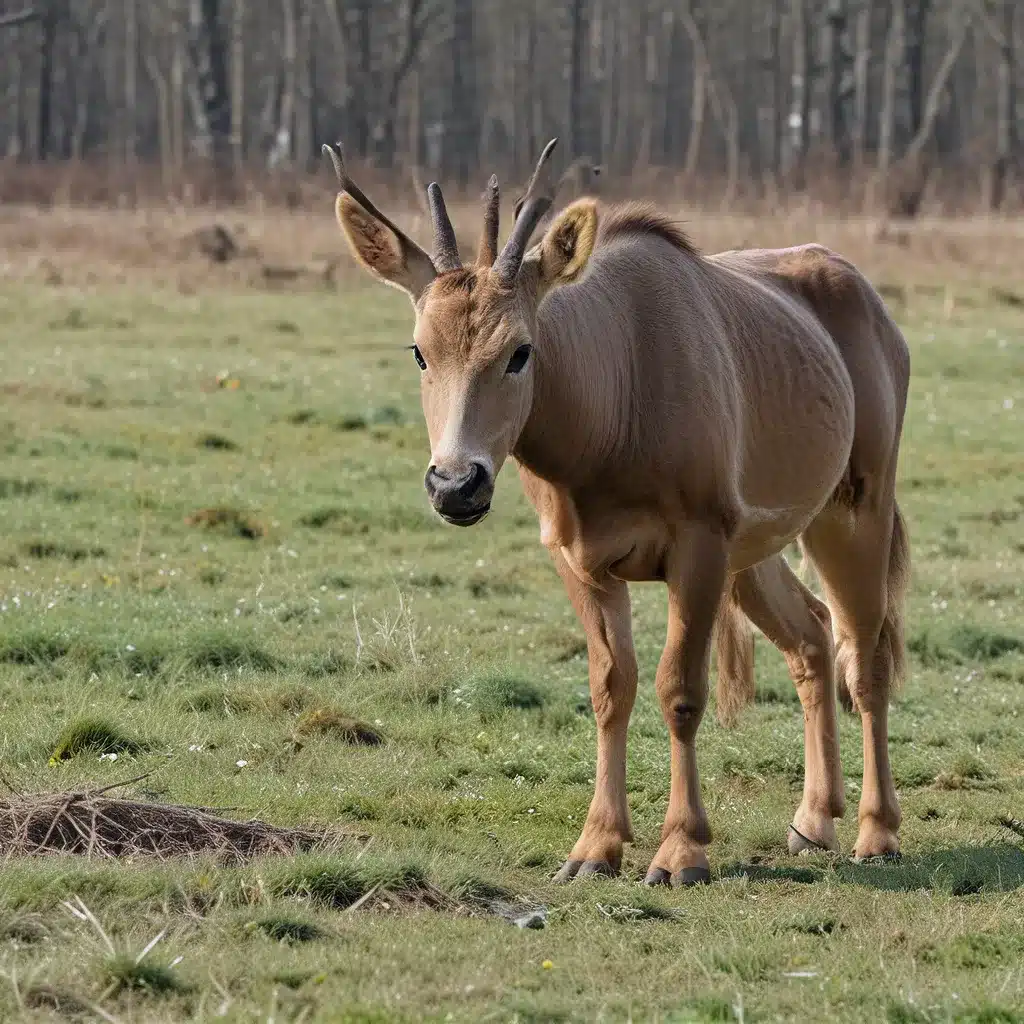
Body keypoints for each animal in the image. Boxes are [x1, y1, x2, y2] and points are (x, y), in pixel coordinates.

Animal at [323, 140, 909, 884]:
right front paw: (595, 848)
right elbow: (610, 688)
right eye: (421, 351)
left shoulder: (697, 547)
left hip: (852, 514)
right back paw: (812, 821)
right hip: (755, 552)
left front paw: (681, 851)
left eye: (519, 351)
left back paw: (876, 832)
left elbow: (679, 690)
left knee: (866, 656)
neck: (620, 377)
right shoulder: (581, 560)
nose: (456, 485)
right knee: (810, 635)